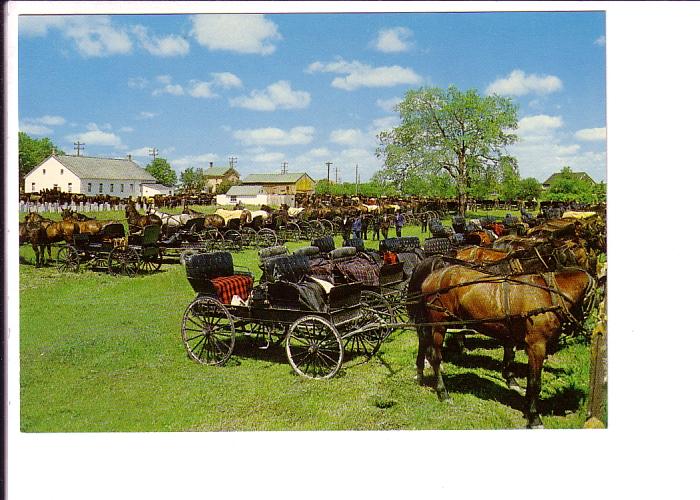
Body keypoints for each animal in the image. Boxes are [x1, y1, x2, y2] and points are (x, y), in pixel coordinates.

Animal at [410, 258, 596, 430]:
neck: (550, 296)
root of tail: (431, 277)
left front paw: (526, 406)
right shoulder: (536, 346)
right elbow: (535, 382)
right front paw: (534, 417)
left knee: (424, 343)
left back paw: (420, 373)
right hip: (439, 324)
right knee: (435, 357)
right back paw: (443, 393)